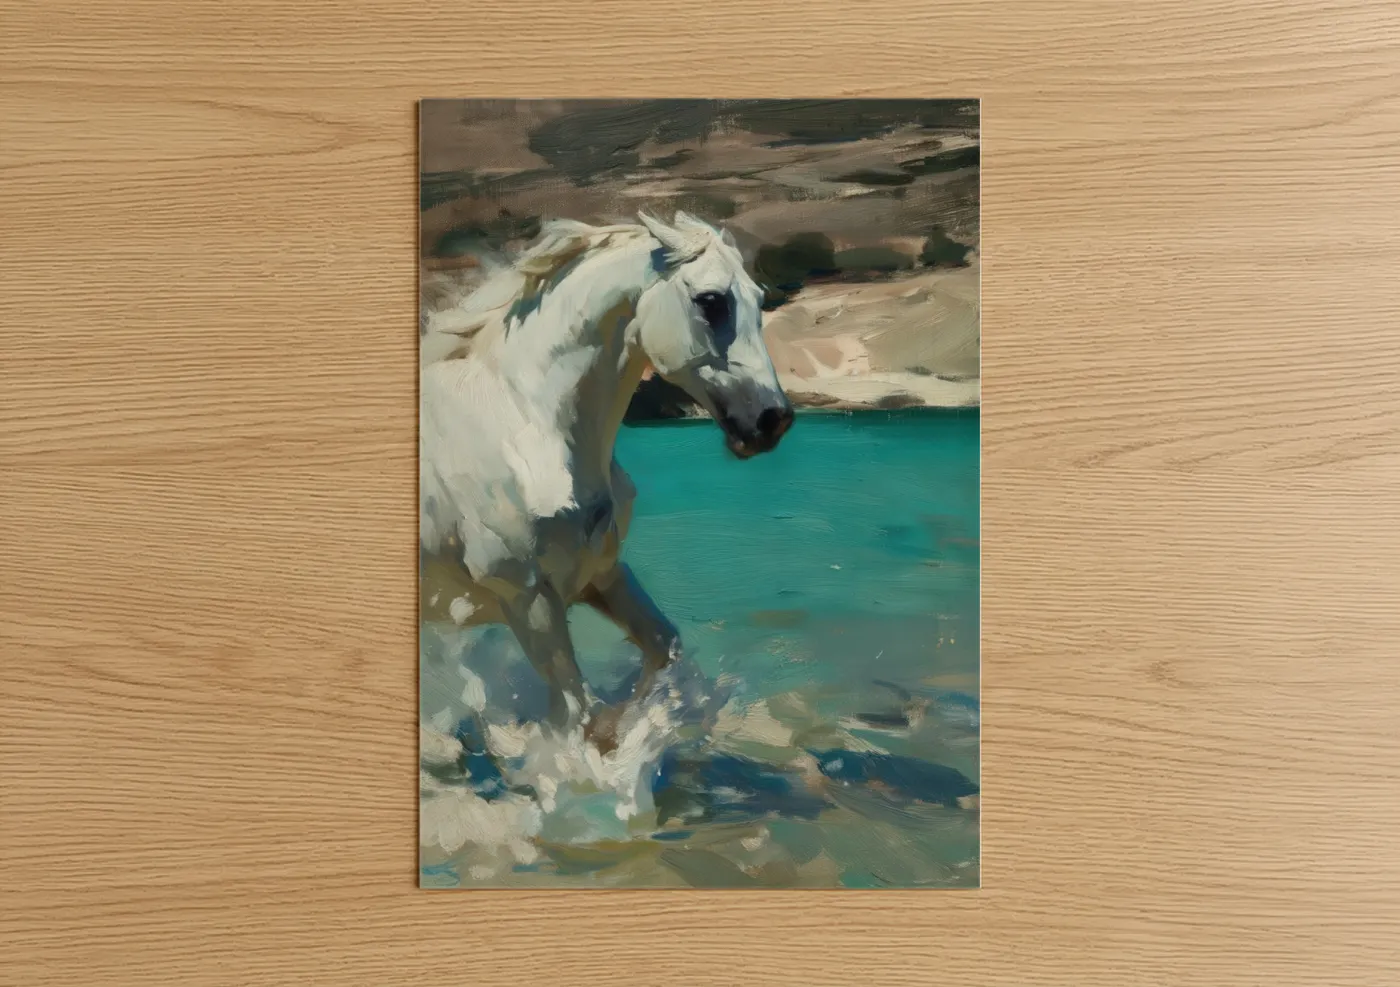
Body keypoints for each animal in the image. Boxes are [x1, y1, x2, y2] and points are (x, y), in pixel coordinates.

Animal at [420, 211, 794, 748]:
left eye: (760, 301)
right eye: (710, 301)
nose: (772, 420)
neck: (524, 424)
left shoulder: (603, 574)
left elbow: (663, 650)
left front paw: (638, 729)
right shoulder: (528, 598)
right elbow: (579, 714)